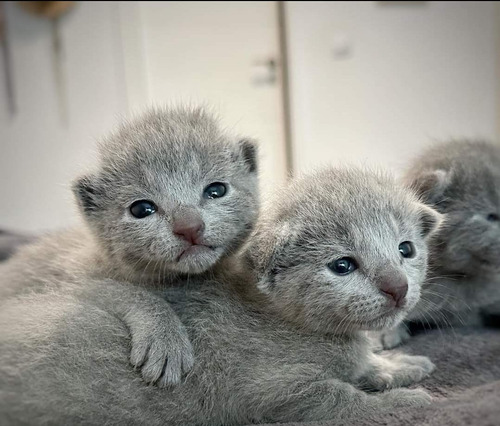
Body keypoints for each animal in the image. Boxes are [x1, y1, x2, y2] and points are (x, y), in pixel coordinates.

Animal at [0, 105, 258, 386]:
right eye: (142, 209)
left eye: (216, 190)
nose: (190, 227)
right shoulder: (60, 282)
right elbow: (122, 290)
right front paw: (164, 340)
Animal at [0, 168, 440, 424]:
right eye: (343, 266)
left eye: (406, 250)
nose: (398, 287)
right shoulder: (276, 395)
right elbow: (348, 402)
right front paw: (408, 403)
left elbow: (366, 368)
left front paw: (399, 364)